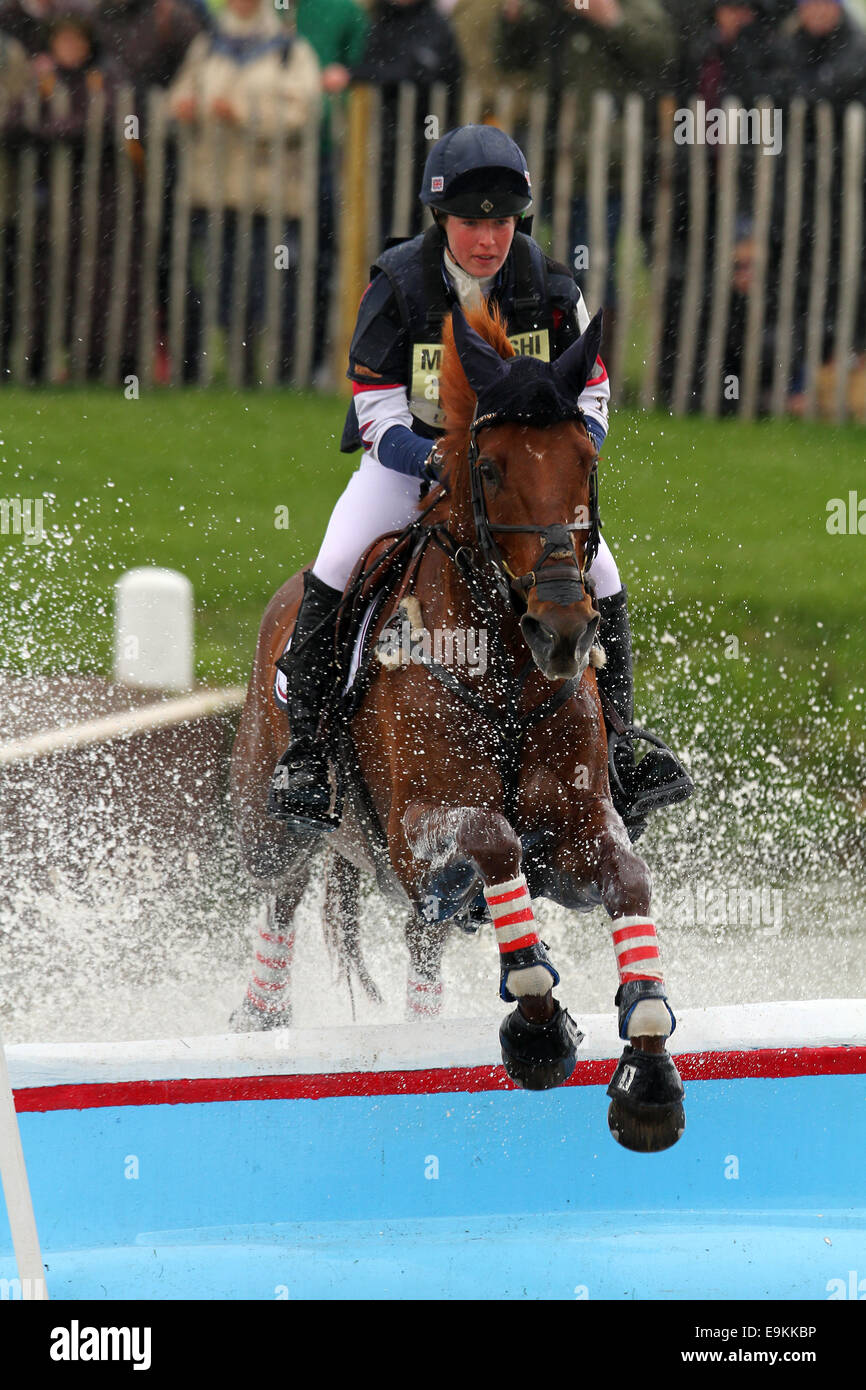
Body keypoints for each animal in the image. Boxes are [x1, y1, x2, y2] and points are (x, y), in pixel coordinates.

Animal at [229, 296, 683, 1150]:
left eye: (586, 460)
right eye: (493, 468)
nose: (563, 630)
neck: (504, 670)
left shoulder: (577, 830)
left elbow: (629, 880)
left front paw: (647, 1062)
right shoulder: (417, 831)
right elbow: (493, 840)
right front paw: (538, 1028)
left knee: (420, 943)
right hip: (274, 819)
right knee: (282, 891)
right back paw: (258, 1016)